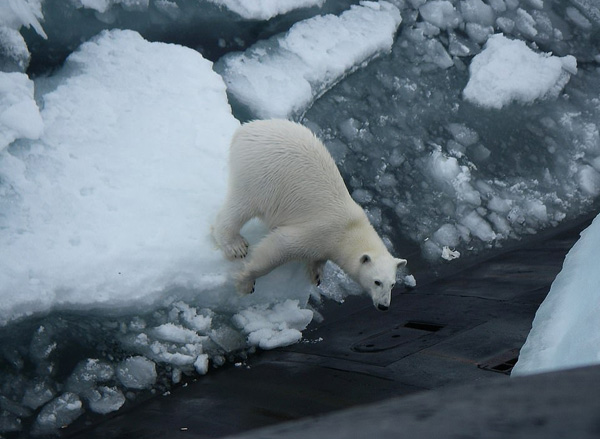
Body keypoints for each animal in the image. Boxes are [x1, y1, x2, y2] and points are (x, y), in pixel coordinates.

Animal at [212, 120, 408, 312]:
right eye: (377, 282)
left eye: (392, 284)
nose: (383, 306)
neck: (350, 229)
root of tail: (245, 130)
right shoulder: (321, 231)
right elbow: (279, 246)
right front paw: (246, 282)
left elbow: (319, 258)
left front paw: (317, 274)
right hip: (260, 175)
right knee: (241, 206)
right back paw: (235, 245)